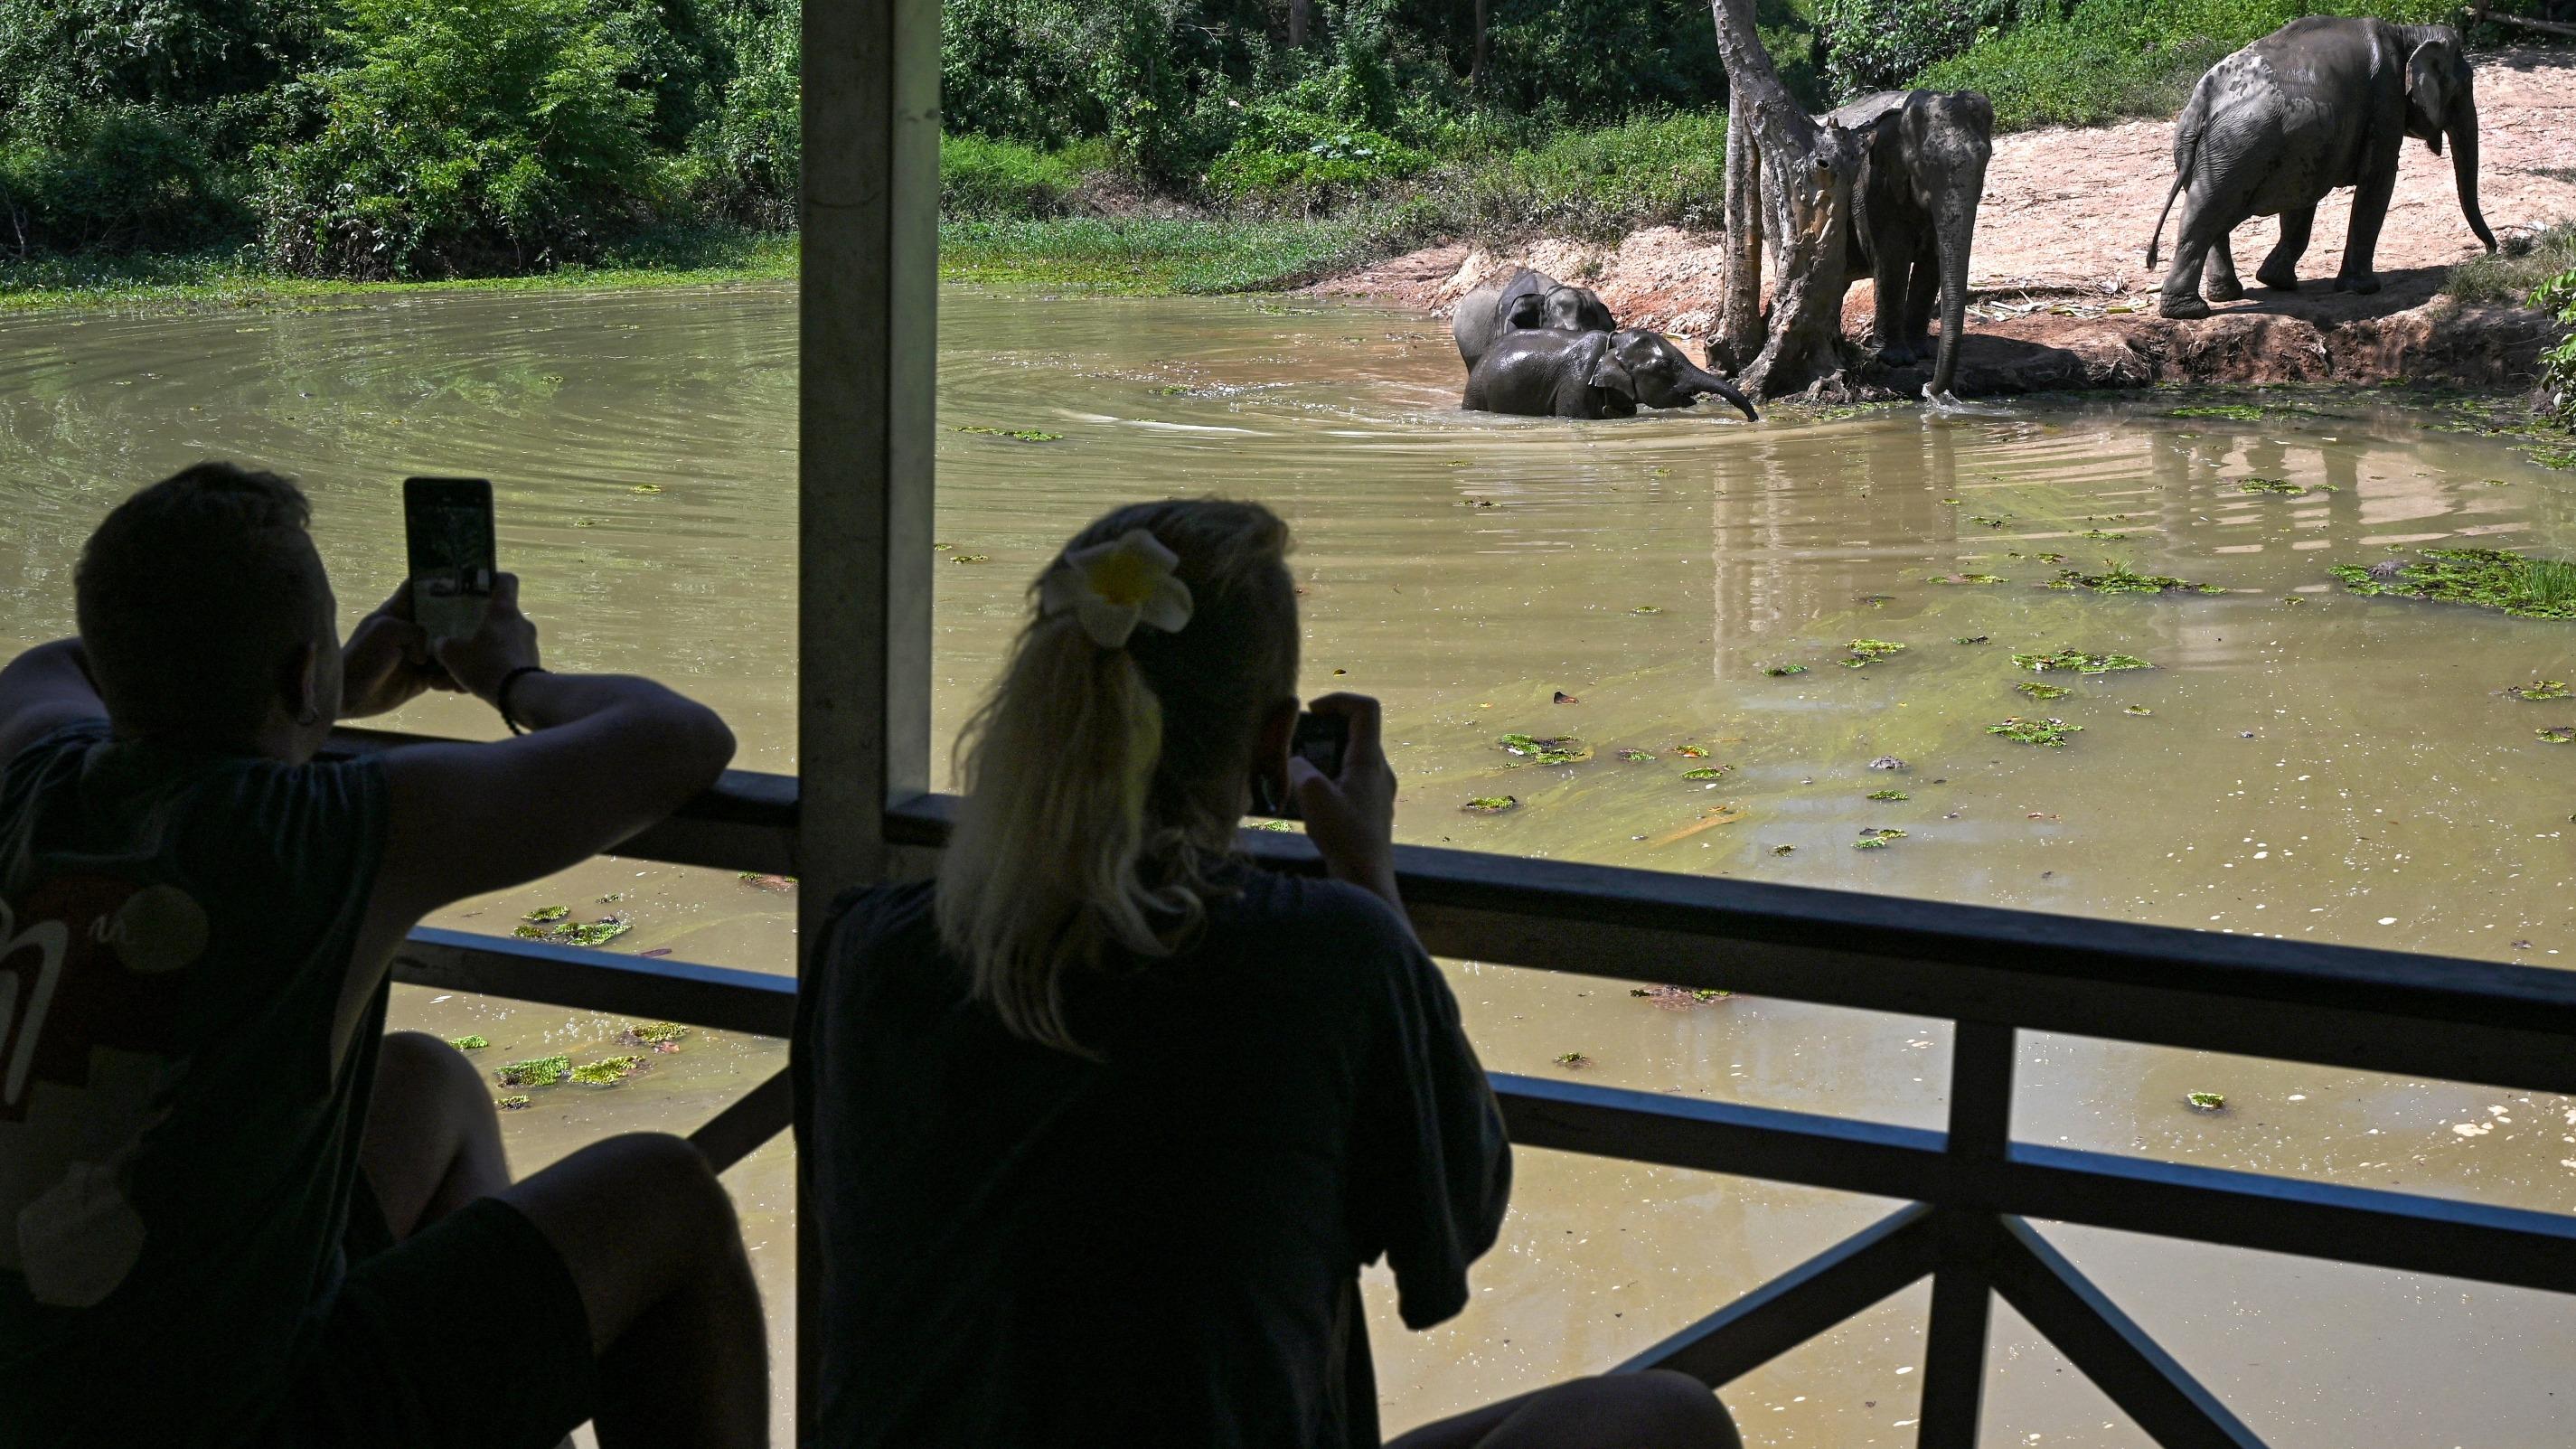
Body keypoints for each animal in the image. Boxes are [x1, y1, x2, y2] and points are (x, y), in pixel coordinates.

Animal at [1823, 85, 1998, 400]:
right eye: (1924, 164)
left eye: (1985, 159)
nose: (1928, 388)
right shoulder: (1873, 188)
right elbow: (1893, 257)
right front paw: (1896, 360)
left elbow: (1932, 259)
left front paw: (1922, 353)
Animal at [2153, 15, 2493, 314]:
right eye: (2466, 85)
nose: (2492, 253)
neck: (2407, 32)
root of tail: (2204, 100)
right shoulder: (2385, 102)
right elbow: (2378, 180)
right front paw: (2364, 288)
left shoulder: (2307, 148)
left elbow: (2302, 200)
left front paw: (2277, 281)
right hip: (2236, 147)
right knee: (2207, 214)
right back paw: (2188, 311)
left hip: (2208, 150)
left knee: (2209, 212)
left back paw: (2223, 296)